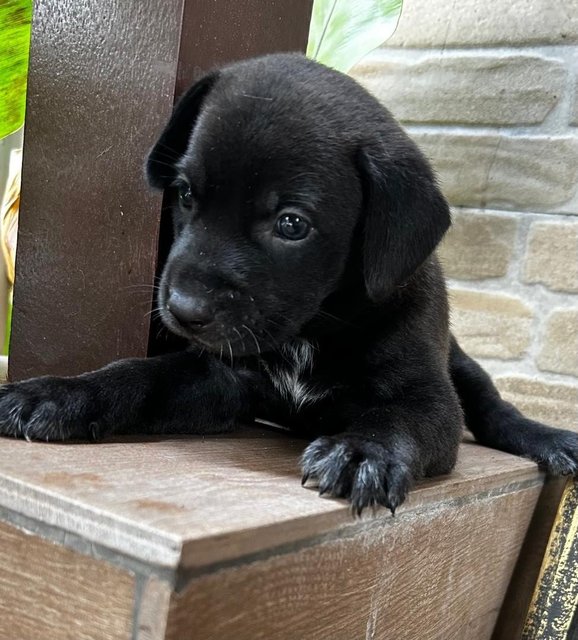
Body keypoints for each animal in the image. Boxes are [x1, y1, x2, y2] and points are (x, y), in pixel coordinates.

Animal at [1, 55, 576, 516]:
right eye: (184, 194)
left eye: (292, 224)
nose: (184, 310)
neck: (311, 328)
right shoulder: (220, 376)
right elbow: (138, 376)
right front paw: (55, 394)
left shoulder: (427, 399)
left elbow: (399, 420)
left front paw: (361, 453)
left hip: (461, 367)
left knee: (494, 407)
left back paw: (549, 438)